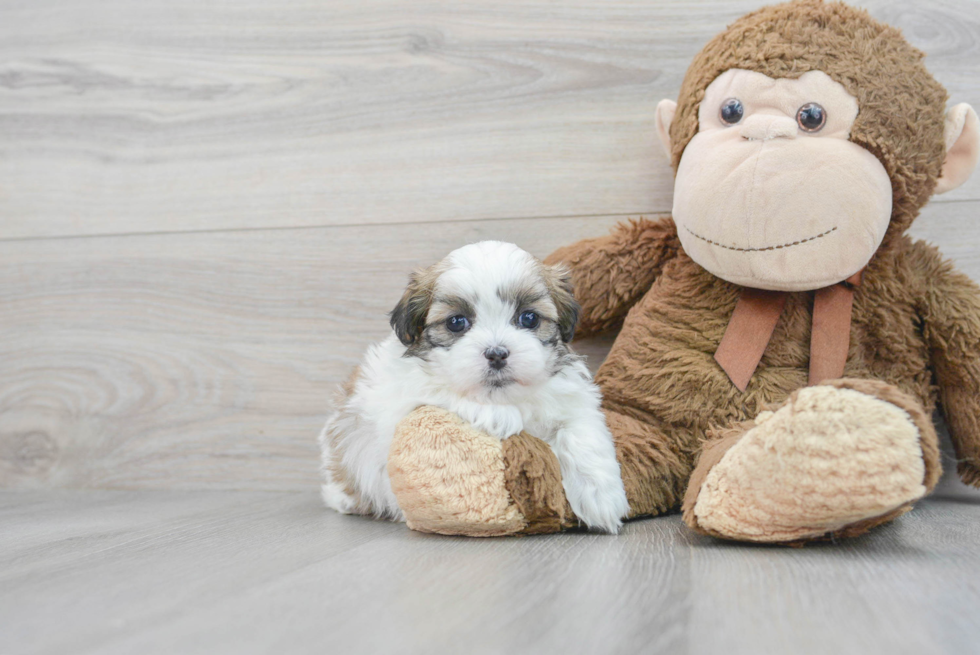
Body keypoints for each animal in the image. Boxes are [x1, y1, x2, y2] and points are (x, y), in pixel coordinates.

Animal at [318, 241, 632, 532]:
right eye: (457, 322)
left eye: (529, 318)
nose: (496, 353)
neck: (507, 396)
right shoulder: (407, 394)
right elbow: (447, 394)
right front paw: (500, 416)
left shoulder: (574, 400)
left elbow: (582, 432)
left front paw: (601, 497)